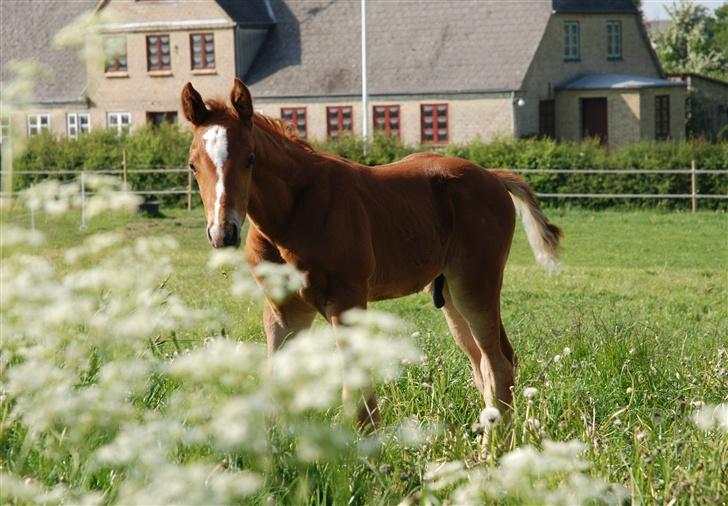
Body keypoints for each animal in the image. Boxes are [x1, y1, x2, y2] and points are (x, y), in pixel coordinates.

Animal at [182, 81, 564, 428]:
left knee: (498, 364)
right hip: (451, 296)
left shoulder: (347, 301)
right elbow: (275, 383)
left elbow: (359, 401)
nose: (223, 233)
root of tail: (494, 177)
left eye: (250, 159)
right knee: (486, 362)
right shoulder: (283, 310)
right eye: (192, 165)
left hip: (475, 286)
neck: (293, 213)